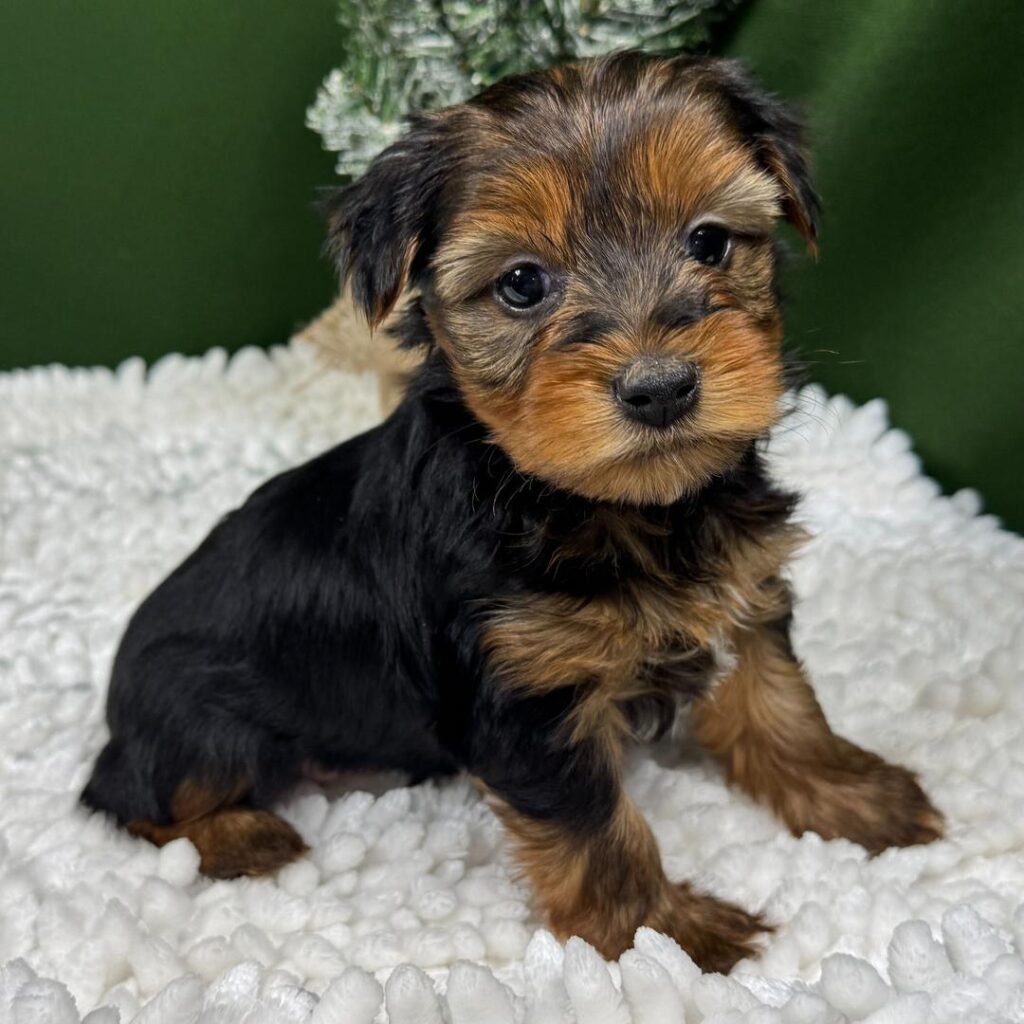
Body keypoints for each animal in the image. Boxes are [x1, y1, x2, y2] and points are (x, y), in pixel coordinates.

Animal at [82, 52, 942, 973]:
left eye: (709, 241)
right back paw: (242, 836)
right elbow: (594, 826)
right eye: (523, 283)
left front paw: (853, 795)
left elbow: (778, 701)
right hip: (203, 723)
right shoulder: (522, 692)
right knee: (135, 797)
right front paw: (664, 935)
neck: (597, 504)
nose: (661, 387)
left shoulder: (743, 588)